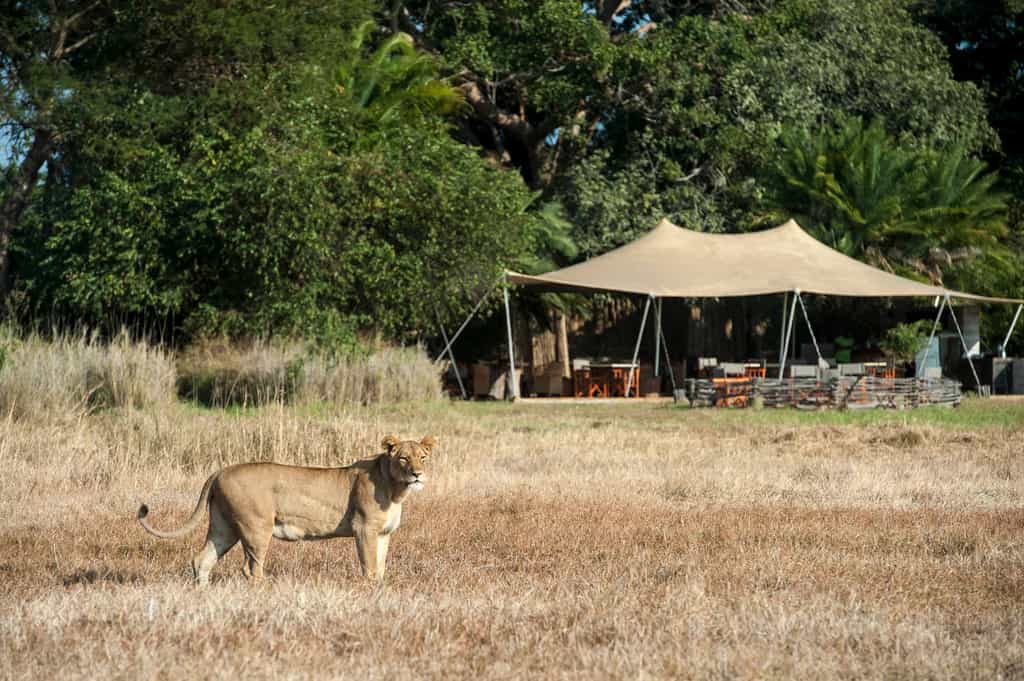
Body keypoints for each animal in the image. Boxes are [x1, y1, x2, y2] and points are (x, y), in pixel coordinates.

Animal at [137, 435, 434, 584]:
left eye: (423, 457)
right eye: (403, 458)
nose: (418, 474)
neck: (396, 490)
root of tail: (221, 470)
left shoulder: (383, 534)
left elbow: (381, 566)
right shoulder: (364, 529)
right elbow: (370, 566)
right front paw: (370, 590)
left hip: (224, 527)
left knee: (202, 560)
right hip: (256, 527)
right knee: (251, 569)